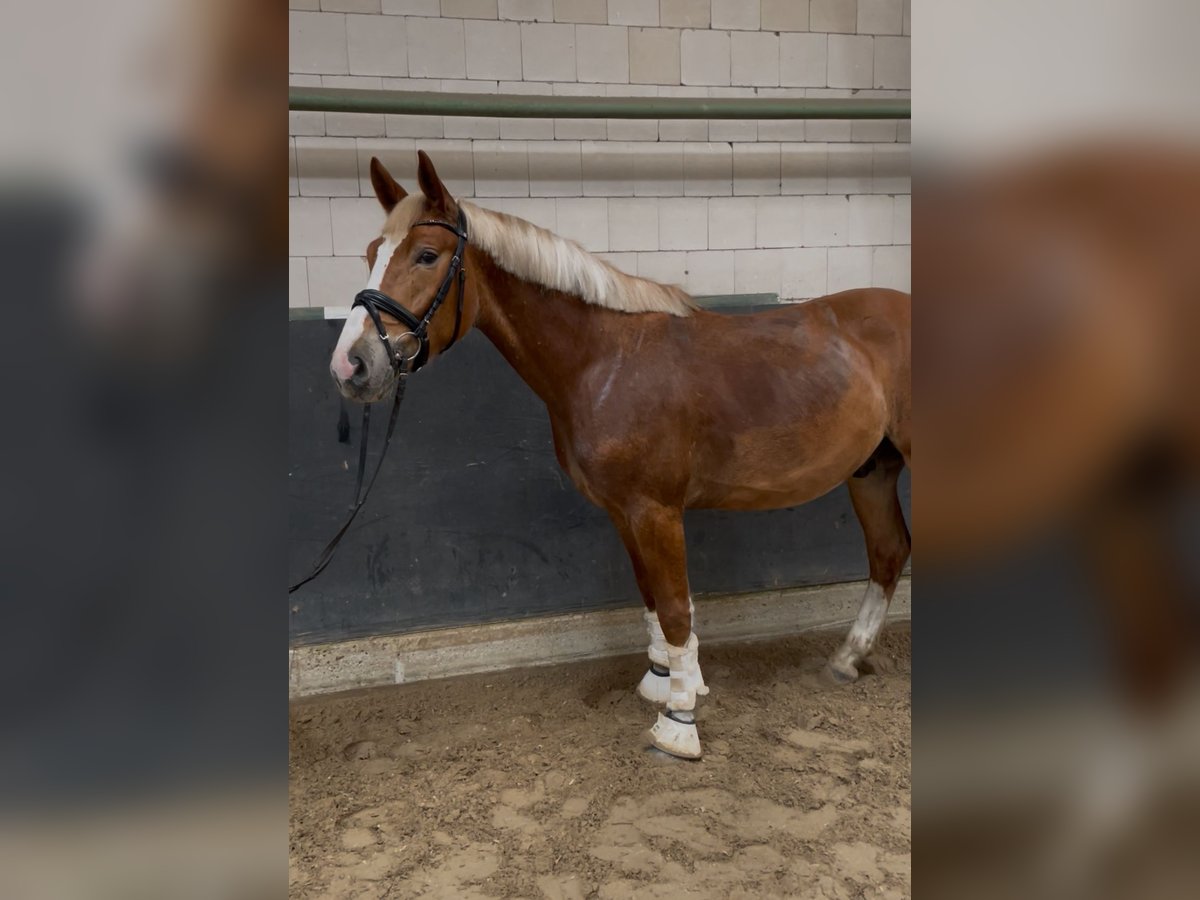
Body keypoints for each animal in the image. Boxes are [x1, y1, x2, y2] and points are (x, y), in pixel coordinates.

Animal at [329, 151, 912, 759]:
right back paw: (847, 658)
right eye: (371, 254)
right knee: (889, 553)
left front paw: (679, 721)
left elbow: (676, 607)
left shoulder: (656, 510)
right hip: (872, 470)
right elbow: (651, 597)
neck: (606, 361)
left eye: (426, 255)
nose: (352, 365)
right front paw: (664, 681)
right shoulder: (623, 510)